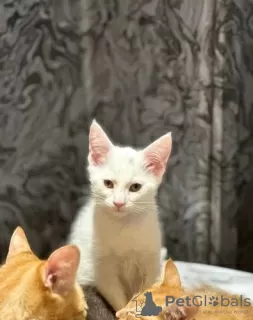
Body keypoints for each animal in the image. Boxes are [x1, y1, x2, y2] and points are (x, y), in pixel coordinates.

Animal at [68, 119, 173, 310]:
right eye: (108, 183)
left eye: (135, 187)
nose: (119, 203)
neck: (124, 227)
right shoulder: (104, 270)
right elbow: (118, 300)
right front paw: (123, 311)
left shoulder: (150, 263)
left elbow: (146, 291)